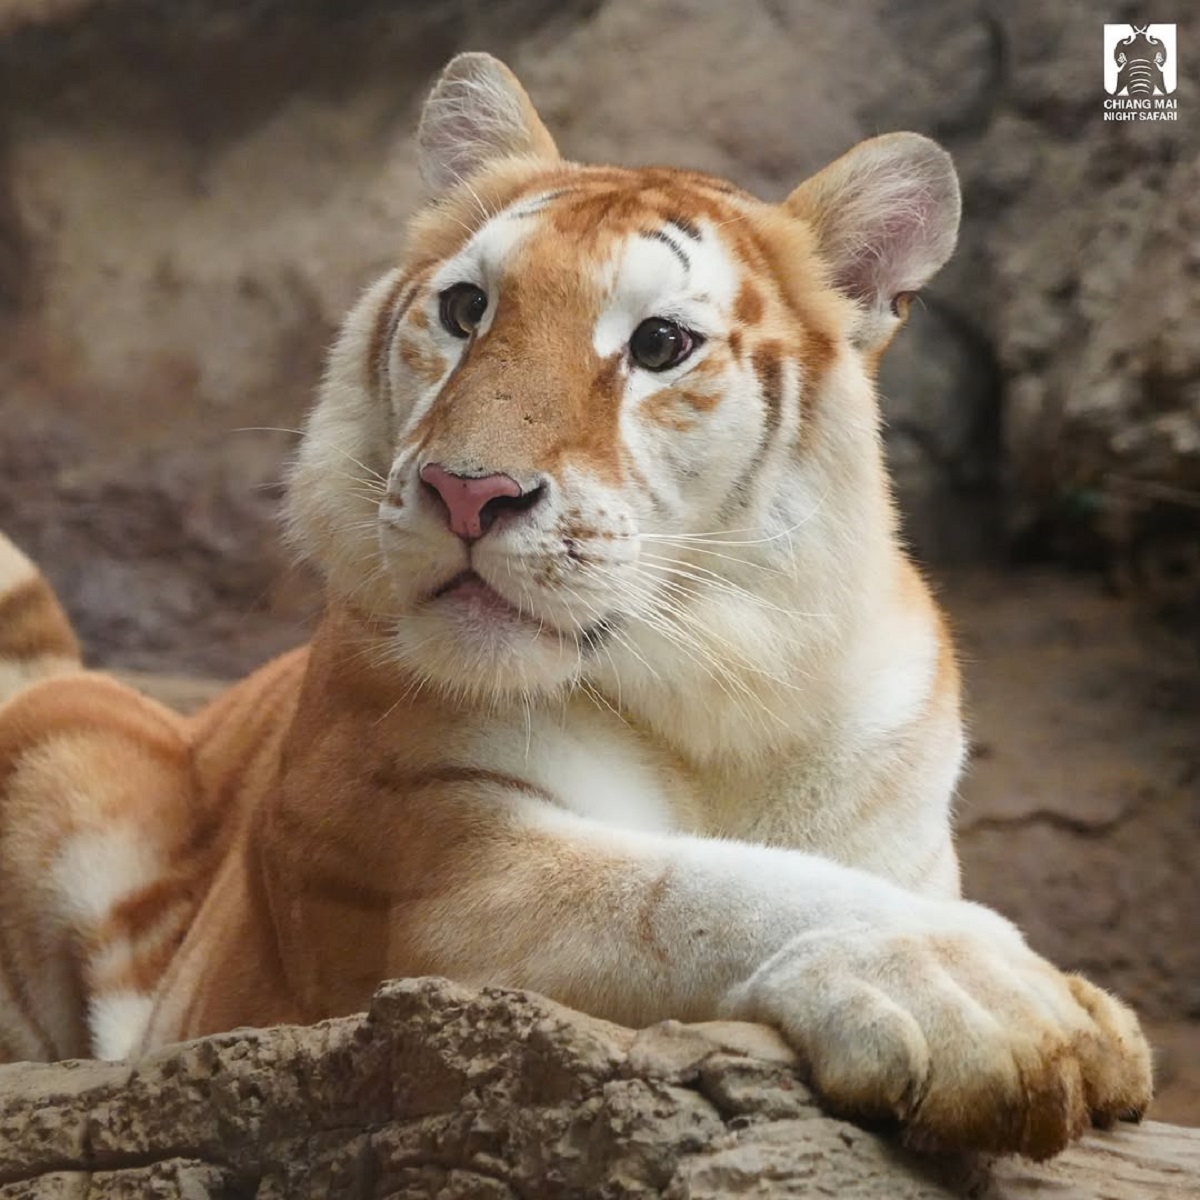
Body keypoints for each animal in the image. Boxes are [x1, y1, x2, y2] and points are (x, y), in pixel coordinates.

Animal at [0, 51, 1152, 1156]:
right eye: (467, 309)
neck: (726, 706)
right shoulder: (423, 865)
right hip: (74, 732)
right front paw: (990, 1000)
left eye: (659, 345)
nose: (467, 493)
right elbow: (692, 890)